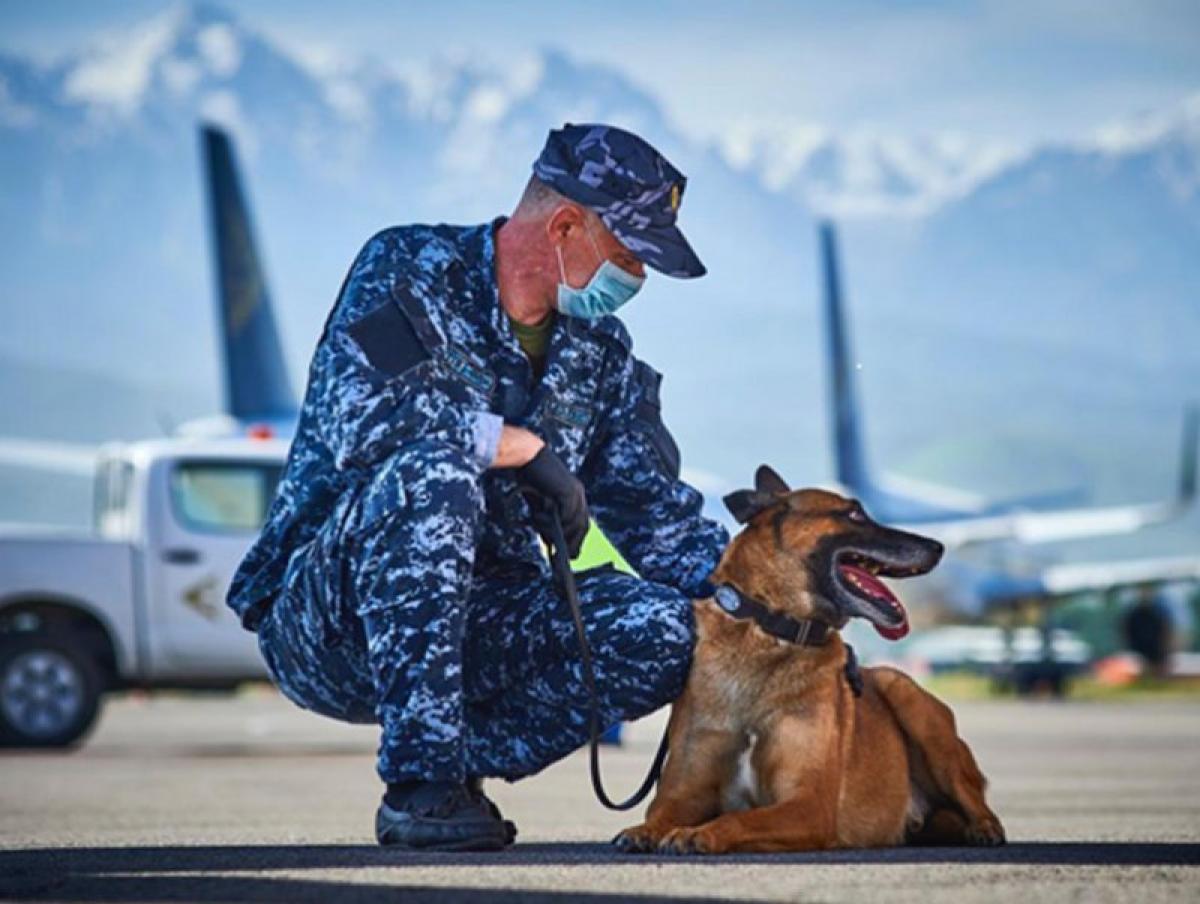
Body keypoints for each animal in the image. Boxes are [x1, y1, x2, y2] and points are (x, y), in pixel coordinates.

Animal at [614, 465, 1008, 854]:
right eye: (854, 514)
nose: (938, 546)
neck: (772, 631)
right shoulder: (683, 792)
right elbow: (659, 814)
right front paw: (644, 831)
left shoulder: (808, 806)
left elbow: (738, 818)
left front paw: (698, 834)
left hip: (907, 696)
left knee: (977, 802)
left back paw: (984, 828)